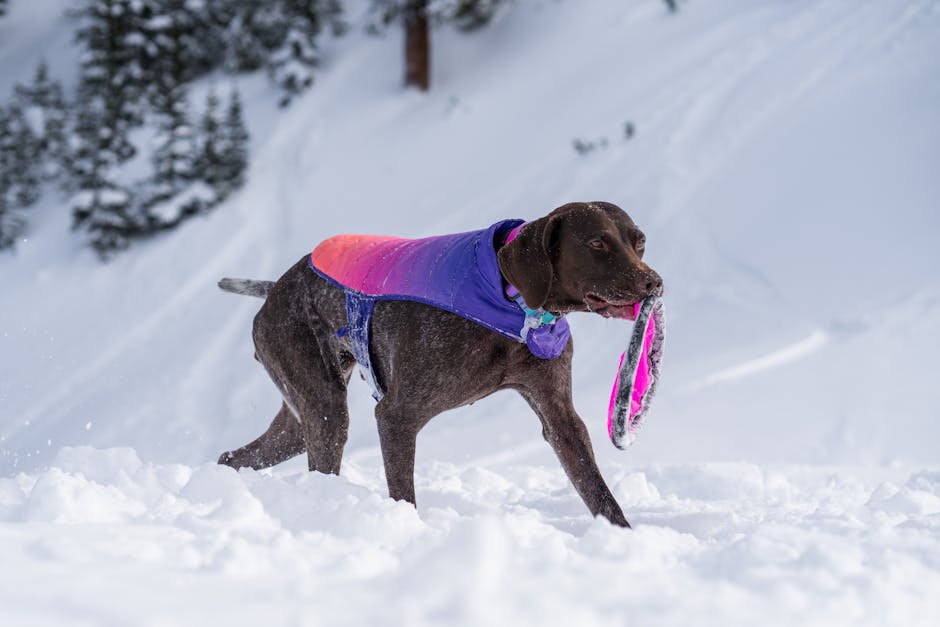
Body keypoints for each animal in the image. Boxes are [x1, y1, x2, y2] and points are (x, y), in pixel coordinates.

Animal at [218, 204, 660, 528]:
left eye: (639, 243)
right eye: (597, 243)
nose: (653, 282)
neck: (511, 301)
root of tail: (275, 288)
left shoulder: (560, 420)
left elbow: (598, 492)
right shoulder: (396, 416)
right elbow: (403, 493)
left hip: (297, 424)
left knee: (235, 458)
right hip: (324, 410)